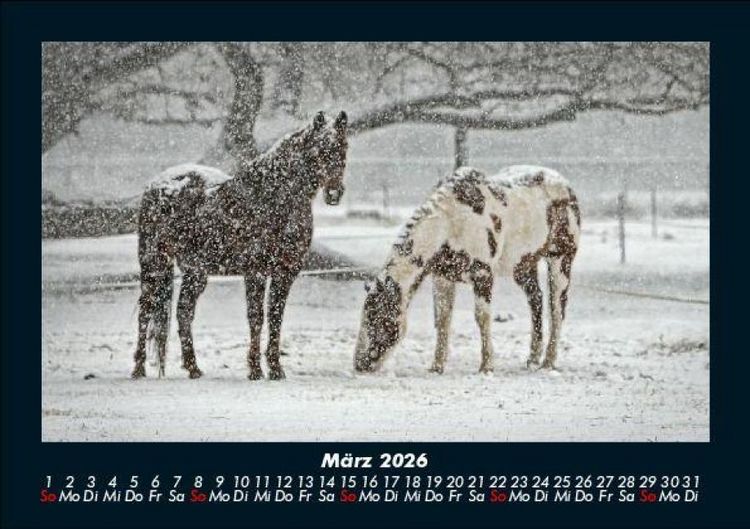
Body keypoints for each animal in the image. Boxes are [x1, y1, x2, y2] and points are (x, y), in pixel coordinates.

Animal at [131, 110, 348, 380]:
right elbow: (256, 317)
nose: (334, 193)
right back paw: (139, 368)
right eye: (319, 149)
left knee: (183, 312)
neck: (274, 198)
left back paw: (193, 367)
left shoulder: (285, 273)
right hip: (154, 263)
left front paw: (276, 369)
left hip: (195, 272)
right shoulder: (255, 271)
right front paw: (255, 369)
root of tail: (156, 185)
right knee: (146, 309)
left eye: (343, 146)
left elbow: (276, 317)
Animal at [354, 165, 580, 374]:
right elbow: (443, 319)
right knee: (536, 301)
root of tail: (566, 185)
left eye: (378, 318)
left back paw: (548, 362)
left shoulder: (483, 275)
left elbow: (482, 318)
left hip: (560, 260)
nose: (359, 364)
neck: (451, 223)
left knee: (557, 309)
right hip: (523, 265)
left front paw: (486, 366)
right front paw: (437, 366)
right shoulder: (442, 277)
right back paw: (533, 359)